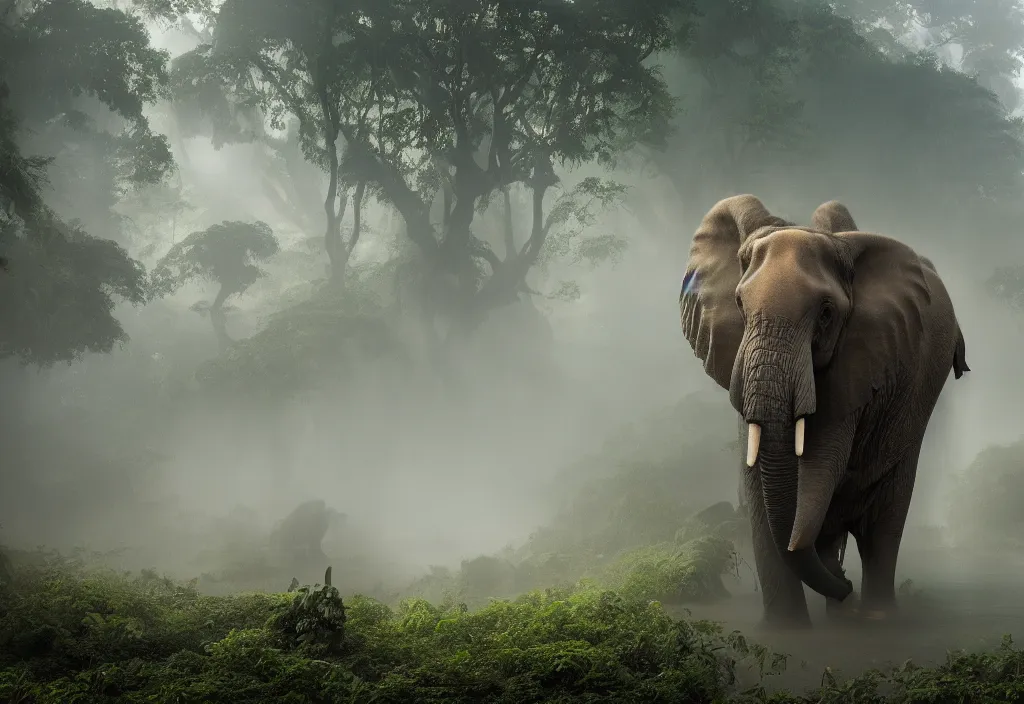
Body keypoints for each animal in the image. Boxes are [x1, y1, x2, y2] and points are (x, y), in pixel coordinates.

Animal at [679, 193, 966, 626]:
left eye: (827, 313)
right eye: (739, 304)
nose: (845, 587)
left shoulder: (862, 356)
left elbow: (823, 461)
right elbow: (761, 492)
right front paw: (788, 632)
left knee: (884, 518)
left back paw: (875, 617)